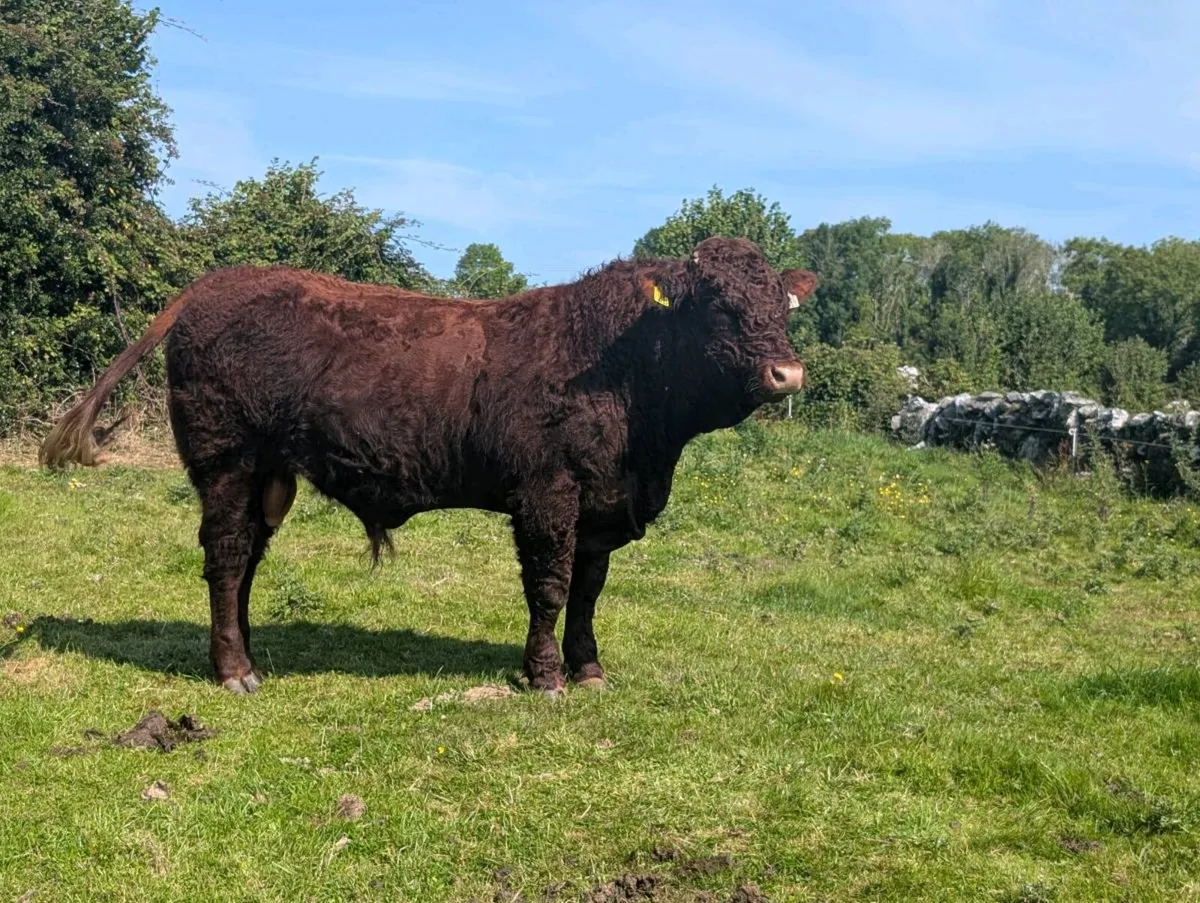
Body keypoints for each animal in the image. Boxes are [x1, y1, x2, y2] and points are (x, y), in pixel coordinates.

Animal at [40, 236, 816, 695]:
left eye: (782, 304)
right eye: (718, 304)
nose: (787, 372)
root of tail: (214, 285)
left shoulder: (601, 503)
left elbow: (589, 591)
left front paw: (588, 667)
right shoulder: (547, 495)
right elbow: (550, 588)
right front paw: (545, 677)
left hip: (267, 475)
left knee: (247, 559)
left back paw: (247, 655)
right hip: (225, 460)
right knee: (226, 557)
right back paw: (234, 670)